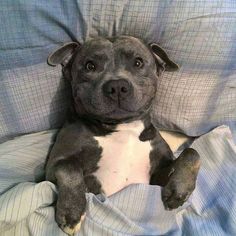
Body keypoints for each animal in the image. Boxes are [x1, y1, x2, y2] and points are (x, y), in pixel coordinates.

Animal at [45, 36, 200, 235]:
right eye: (89, 66)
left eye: (138, 62)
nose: (117, 85)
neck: (122, 127)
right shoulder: (53, 166)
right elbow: (69, 168)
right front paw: (71, 212)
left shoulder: (156, 176)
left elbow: (192, 153)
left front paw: (179, 189)